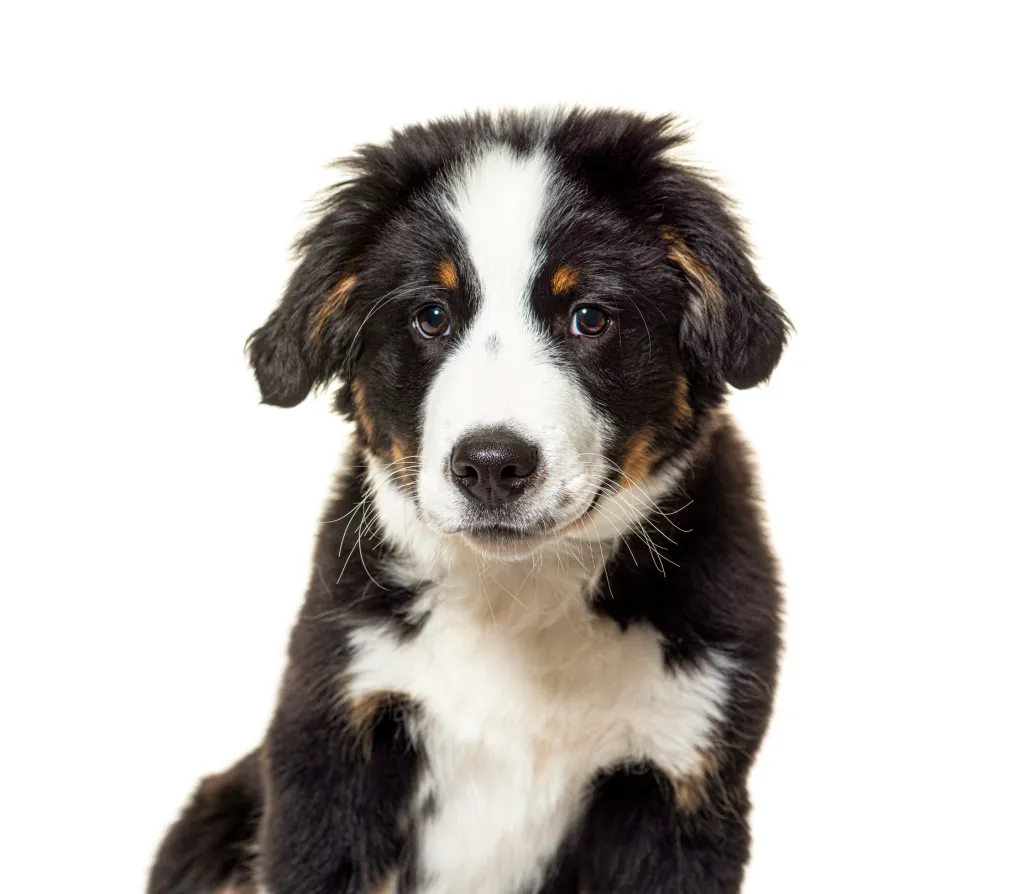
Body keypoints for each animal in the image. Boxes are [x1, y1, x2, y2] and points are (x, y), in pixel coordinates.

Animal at [148, 110, 790, 892]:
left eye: (589, 316)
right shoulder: (333, 741)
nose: (491, 465)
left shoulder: (682, 774)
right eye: (431, 315)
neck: (519, 598)